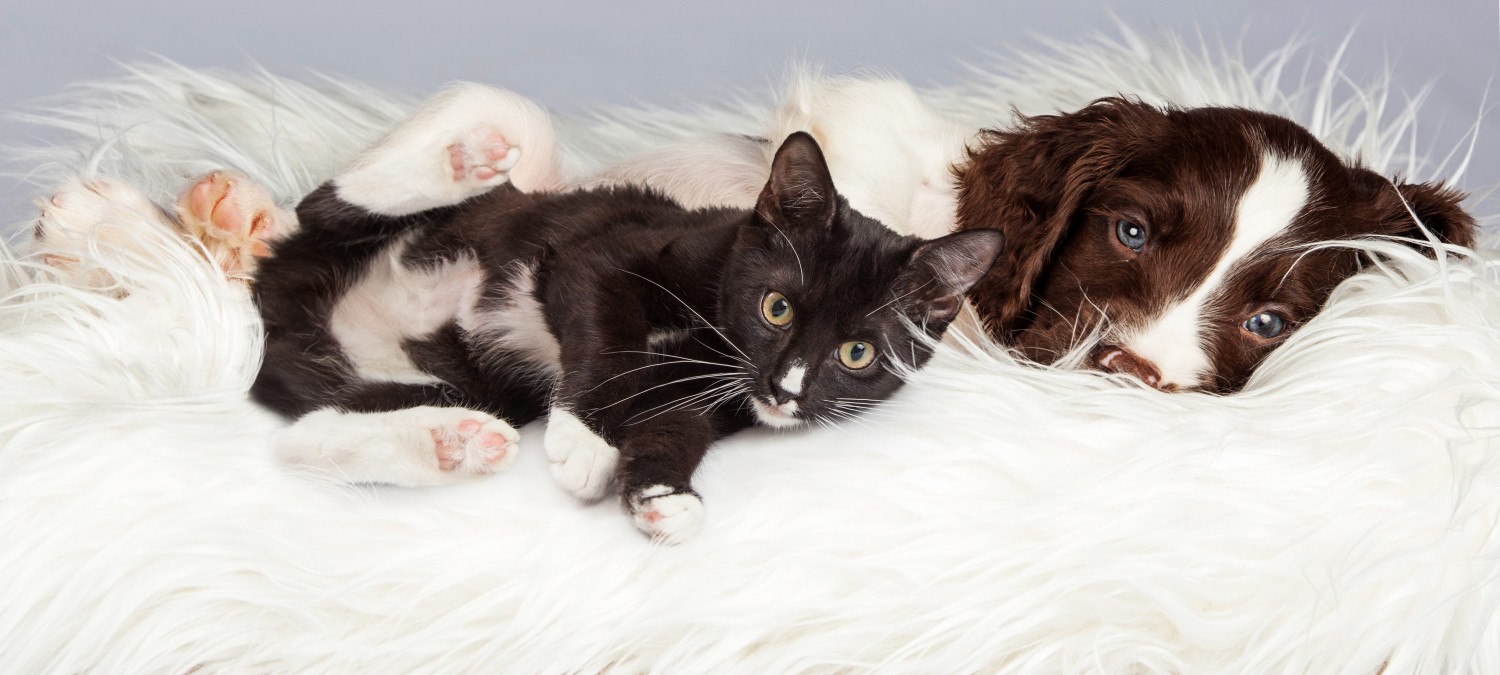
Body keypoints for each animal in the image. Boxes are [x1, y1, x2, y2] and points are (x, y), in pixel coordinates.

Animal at [237, 84, 1008, 543]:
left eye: (857, 354)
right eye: (777, 306)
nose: (788, 388)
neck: (713, 344)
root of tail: (284, 314)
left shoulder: (710, 402)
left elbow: (676, 429)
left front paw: (661, 493)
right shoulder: (601, 256)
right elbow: (611, 335)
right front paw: (584, 440)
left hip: (456, 381)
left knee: (298, 439)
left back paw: (446, 443)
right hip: (432, 223)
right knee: (327, 204)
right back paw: (461, 159)